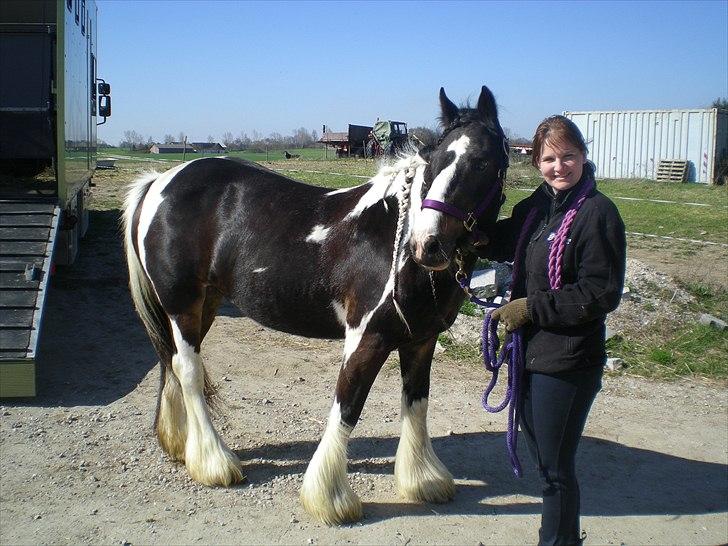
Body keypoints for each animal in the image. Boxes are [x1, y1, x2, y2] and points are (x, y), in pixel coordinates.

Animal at [122, 85, 510, 524]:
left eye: (483, 162)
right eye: (436, 161)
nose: (426, 244)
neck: (394, 238)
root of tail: (159, 181)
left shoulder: (421, 341)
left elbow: (416, 403)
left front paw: (422, 480)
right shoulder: (366, 338)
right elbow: (348, 405)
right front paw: (328, 497)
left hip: (202, 305)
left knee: (171, 363)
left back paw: (178, 444)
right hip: (181, 304)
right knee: (188, 371)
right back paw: (214, 463)